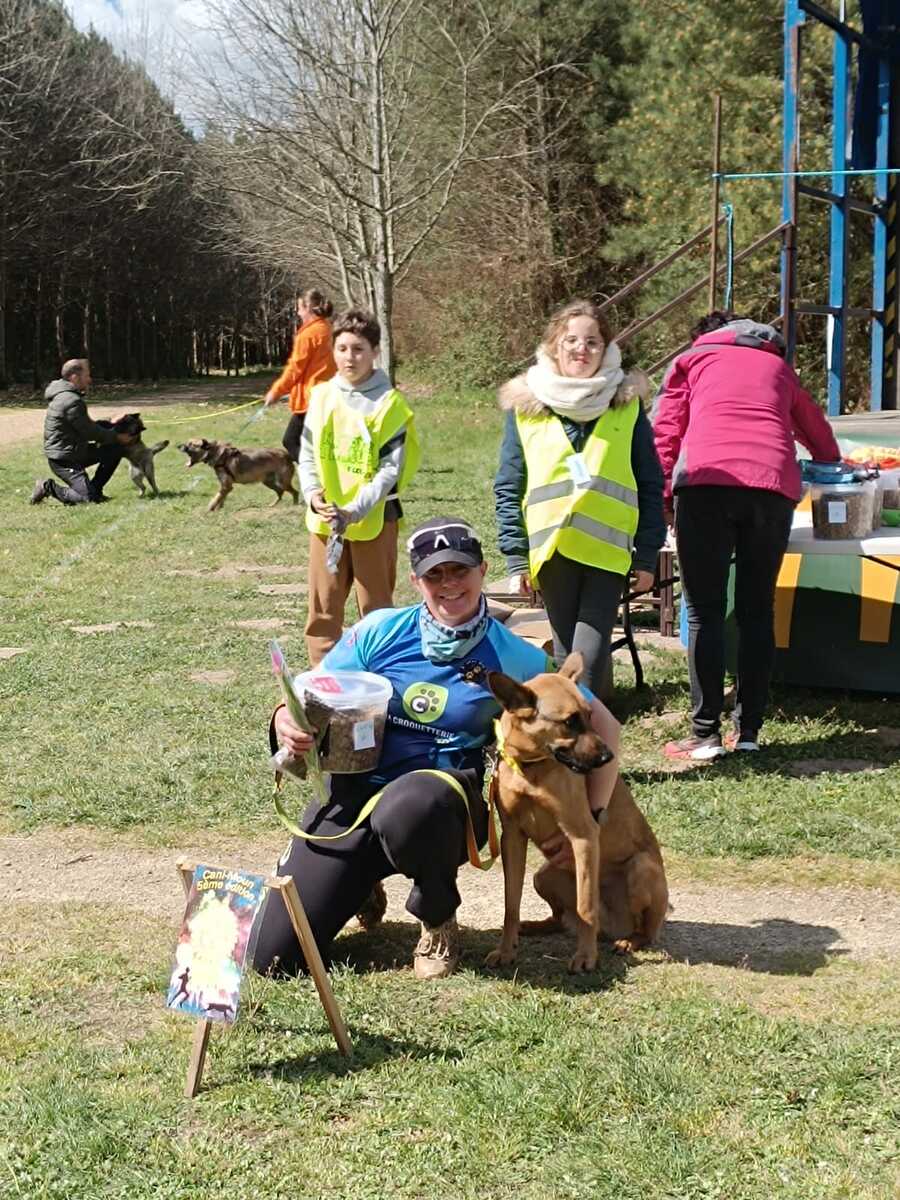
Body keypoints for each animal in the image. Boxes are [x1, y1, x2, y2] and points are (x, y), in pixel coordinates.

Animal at [485, 653, 669, 973]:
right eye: (570, 721)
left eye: (591, 715)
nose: (608, 757)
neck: (532, 769)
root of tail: (612, 927)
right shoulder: (512, 838)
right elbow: (511, 903)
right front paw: (506, 950)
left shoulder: (583, 837)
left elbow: (586, 907)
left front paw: (585, 957)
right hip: (543, 876)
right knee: (560, 919)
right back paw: (536, 926)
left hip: (640, 870)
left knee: (644, 930)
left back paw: (628, 941)